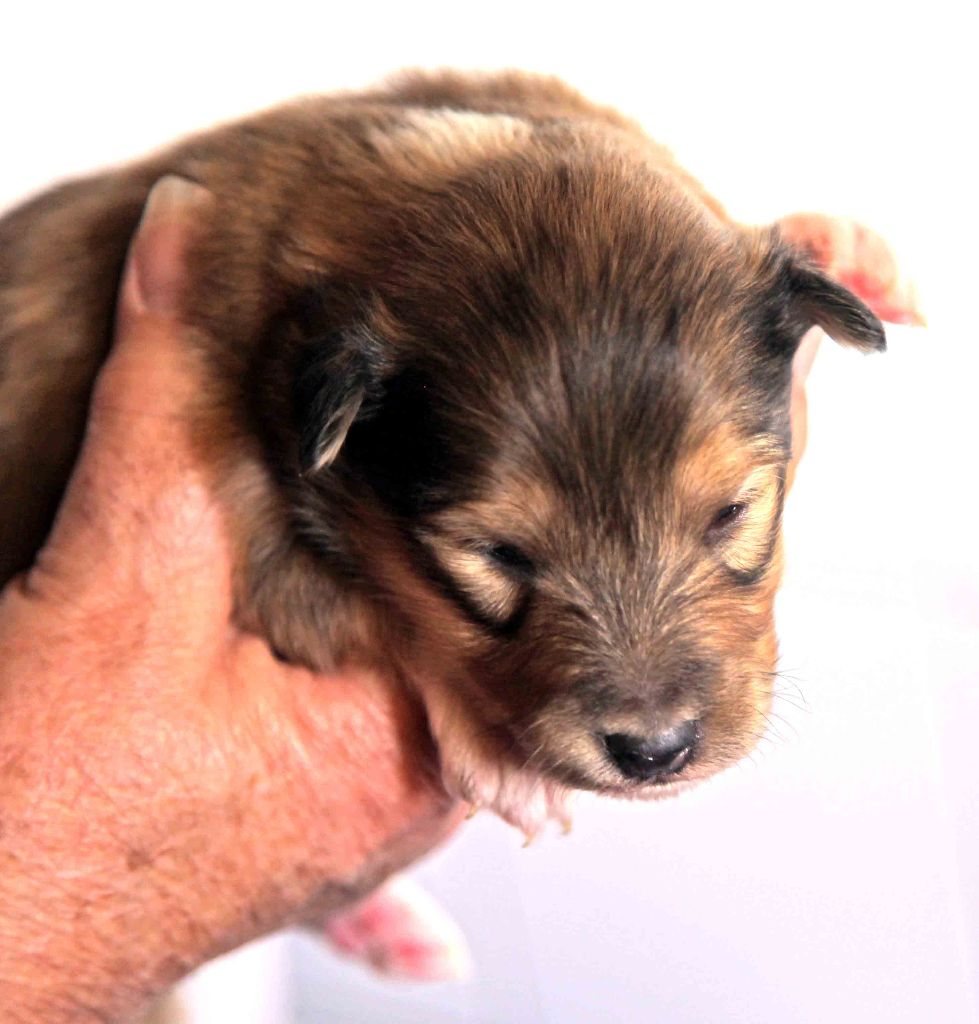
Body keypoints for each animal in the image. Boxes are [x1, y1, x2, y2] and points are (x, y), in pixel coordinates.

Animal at [1, 70, 917, 974]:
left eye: (730, 512)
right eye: (498, 554)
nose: (655, 752)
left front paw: (844, 248)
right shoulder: (254, 522)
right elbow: (392, 617)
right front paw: (505, 764)